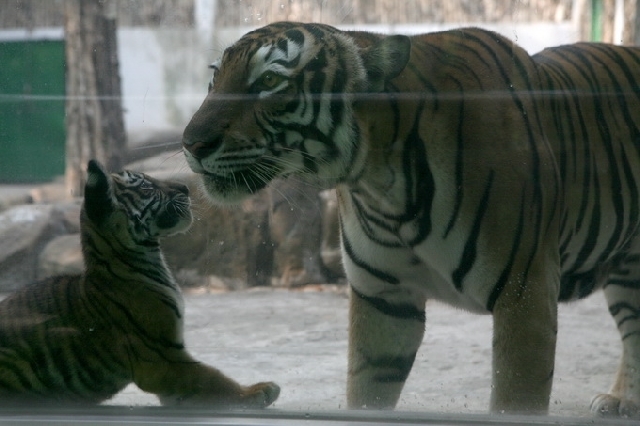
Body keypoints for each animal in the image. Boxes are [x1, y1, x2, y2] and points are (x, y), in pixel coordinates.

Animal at [181, 22, 640, 416]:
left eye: (269, 82)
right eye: (214, 78)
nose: (191, 143)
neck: (379, 180)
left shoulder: (524, 294)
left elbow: (516, 396)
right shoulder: (383, 297)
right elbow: (367, 389)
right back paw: (622, 401)